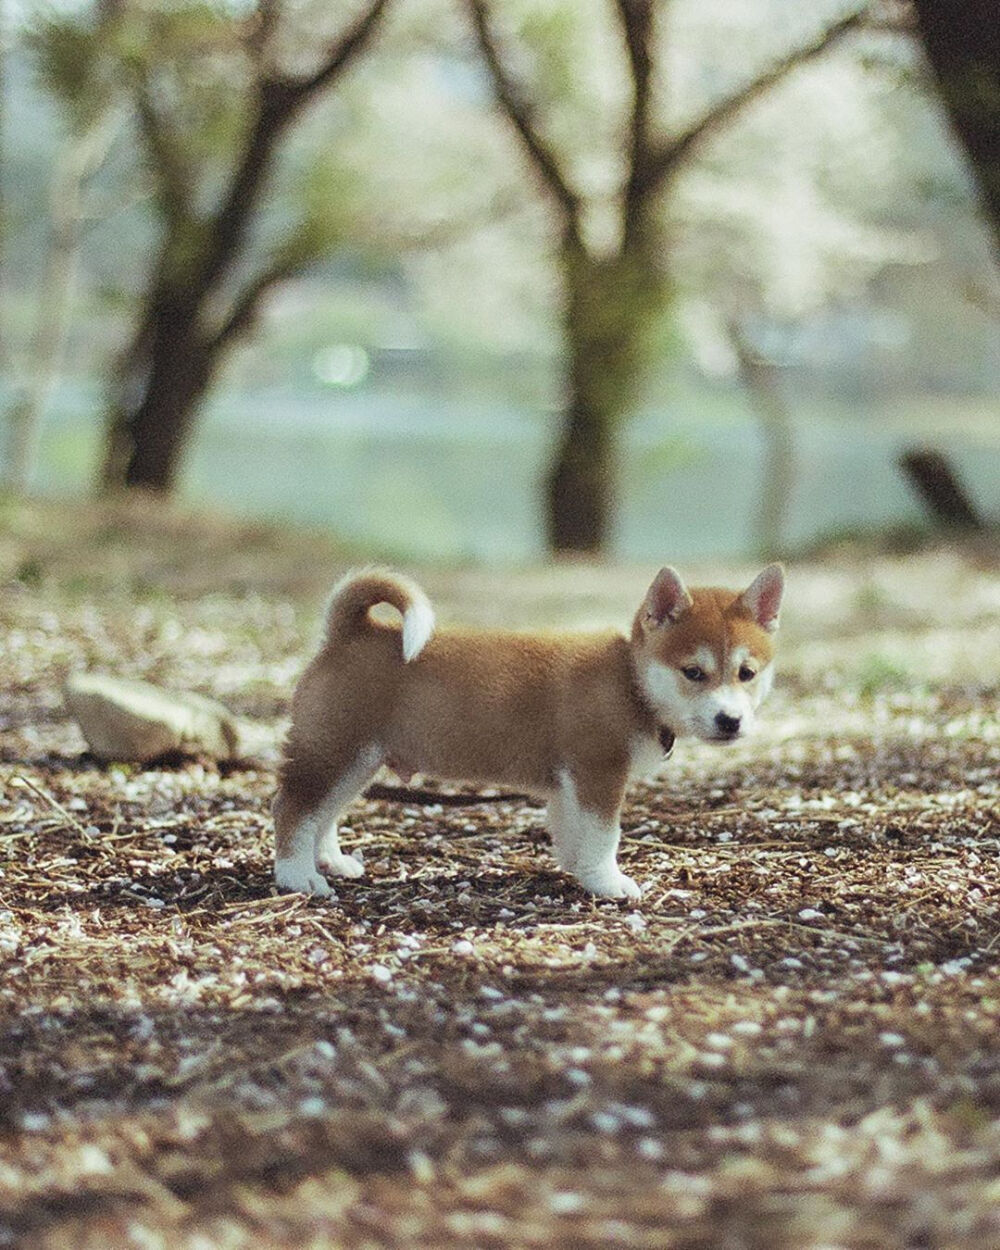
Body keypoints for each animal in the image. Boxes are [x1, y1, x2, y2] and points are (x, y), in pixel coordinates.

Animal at [273, 565, 780, 900]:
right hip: (336, 754)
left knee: (323, 815)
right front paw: (608, 882)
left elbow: (573, 833)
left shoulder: (570, 784)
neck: (629, 683)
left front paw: (580, 870)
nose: (730, 721)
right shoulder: (599, 774)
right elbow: (605, 835)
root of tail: (349, 632)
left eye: (747, 673)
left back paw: (332, 862)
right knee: (293, 809)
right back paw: (298, 878)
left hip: (357, 762)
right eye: (693, 672)